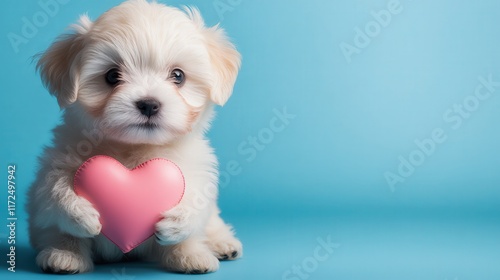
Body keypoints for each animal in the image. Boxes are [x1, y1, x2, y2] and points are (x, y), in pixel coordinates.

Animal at [27, 0, 242, 274]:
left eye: (178, 76)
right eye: (111, 76)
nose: (149, 104)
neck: (134, 148)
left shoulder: (194, 168)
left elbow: (197, 197)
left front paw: (178, 222)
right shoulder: (57, 163)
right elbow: (54, 192)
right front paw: (79, 213)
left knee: (209, 224)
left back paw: (205, 251)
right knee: (56, 232)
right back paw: (64, 255)